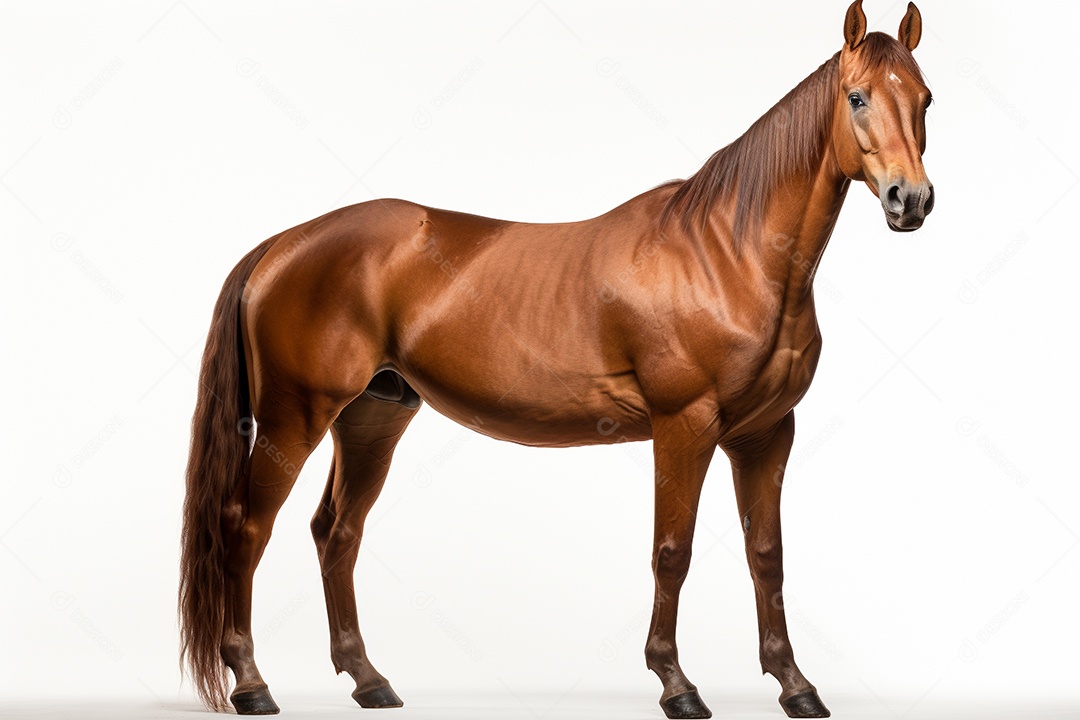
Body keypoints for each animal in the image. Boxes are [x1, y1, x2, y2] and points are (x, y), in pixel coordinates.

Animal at [179, 2, 934, 717]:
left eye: (925, 99)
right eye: (858, 97)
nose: (912, 200)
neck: (726, 253)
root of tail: (283, 243)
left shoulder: (766, 434)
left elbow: (767, 556)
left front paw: (795, 686)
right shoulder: (684, 426)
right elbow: (672, 552)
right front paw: (676, 685)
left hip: (373, 416)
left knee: (336, 532)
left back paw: (369, 680)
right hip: (293, 419)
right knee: (246, 526)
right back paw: (251, 684)